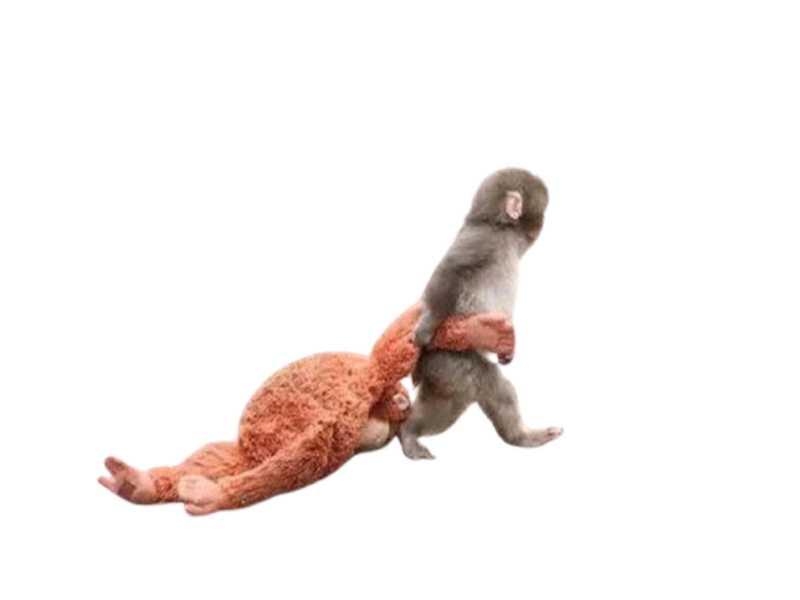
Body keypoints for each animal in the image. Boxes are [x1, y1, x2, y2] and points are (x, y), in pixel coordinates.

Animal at [398, 162, 568, 464]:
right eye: (546, 210)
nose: (544, 227)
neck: (501, 228)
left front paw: (511, 348)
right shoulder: (484, 241)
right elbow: (450, 272)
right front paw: (426, 326)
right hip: (448, 358)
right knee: (474, 384)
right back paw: (410, 432)